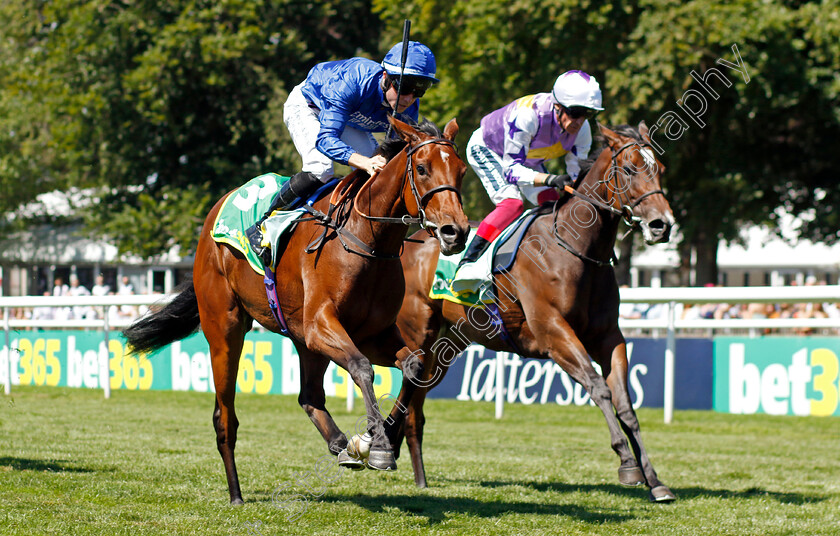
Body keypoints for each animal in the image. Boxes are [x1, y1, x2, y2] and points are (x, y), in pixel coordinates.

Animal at [122, 116, 470, 502]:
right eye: (422, 168)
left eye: (462, 171)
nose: (455, 231)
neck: (367, 241)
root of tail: (216, 212)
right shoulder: (323, 325)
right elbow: (362, 369)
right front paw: (378, 445)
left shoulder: (373, 333)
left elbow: (414, 366)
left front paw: (376, 438)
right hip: (226, 329)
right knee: (224, 416)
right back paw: (236, 492)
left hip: (304, 341)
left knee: (309, 396)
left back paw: (341, 444)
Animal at [396, 122, 684, 502]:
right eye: (630, 168)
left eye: (660, 169)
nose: (661, 225)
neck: (575, 248)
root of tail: (408, 243)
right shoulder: (553, 333)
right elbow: (598, 388)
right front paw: (626, 463)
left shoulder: (608, 337)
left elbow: (625, 402)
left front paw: (655, 480)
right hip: (419, 337)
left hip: (443, 349)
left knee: (415, 408)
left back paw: (416, 475)